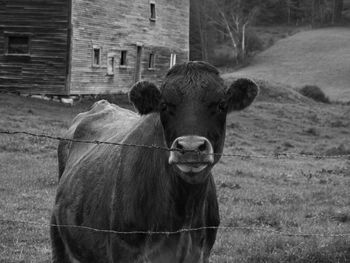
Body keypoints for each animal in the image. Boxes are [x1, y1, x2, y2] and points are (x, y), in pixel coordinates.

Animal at [50, 60, 258, 262]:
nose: (190, 147)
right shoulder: (124, 249)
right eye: (164, 105)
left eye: (222, 104)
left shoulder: (201, 253)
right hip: (59, 236)